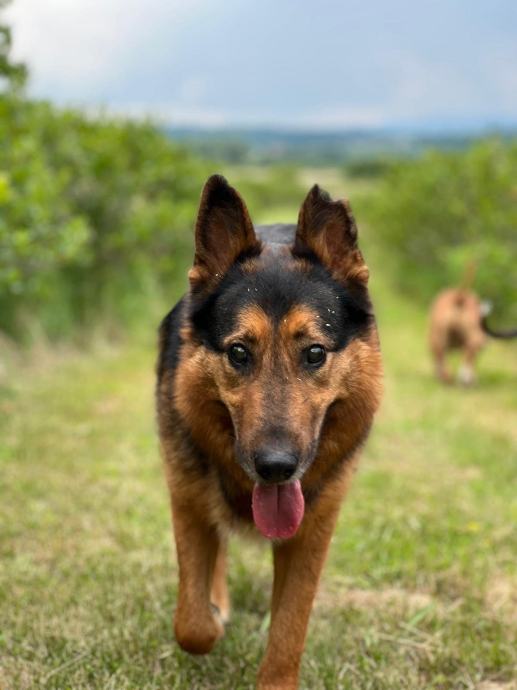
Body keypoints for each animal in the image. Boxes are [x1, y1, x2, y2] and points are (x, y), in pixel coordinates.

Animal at [156, 175, 383, 690]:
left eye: (315, 353)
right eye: (239, 353)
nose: (276, 468)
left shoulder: (311, 534)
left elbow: (289, 628)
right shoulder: (187, 502)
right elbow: (191, 623)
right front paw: (211, 616)